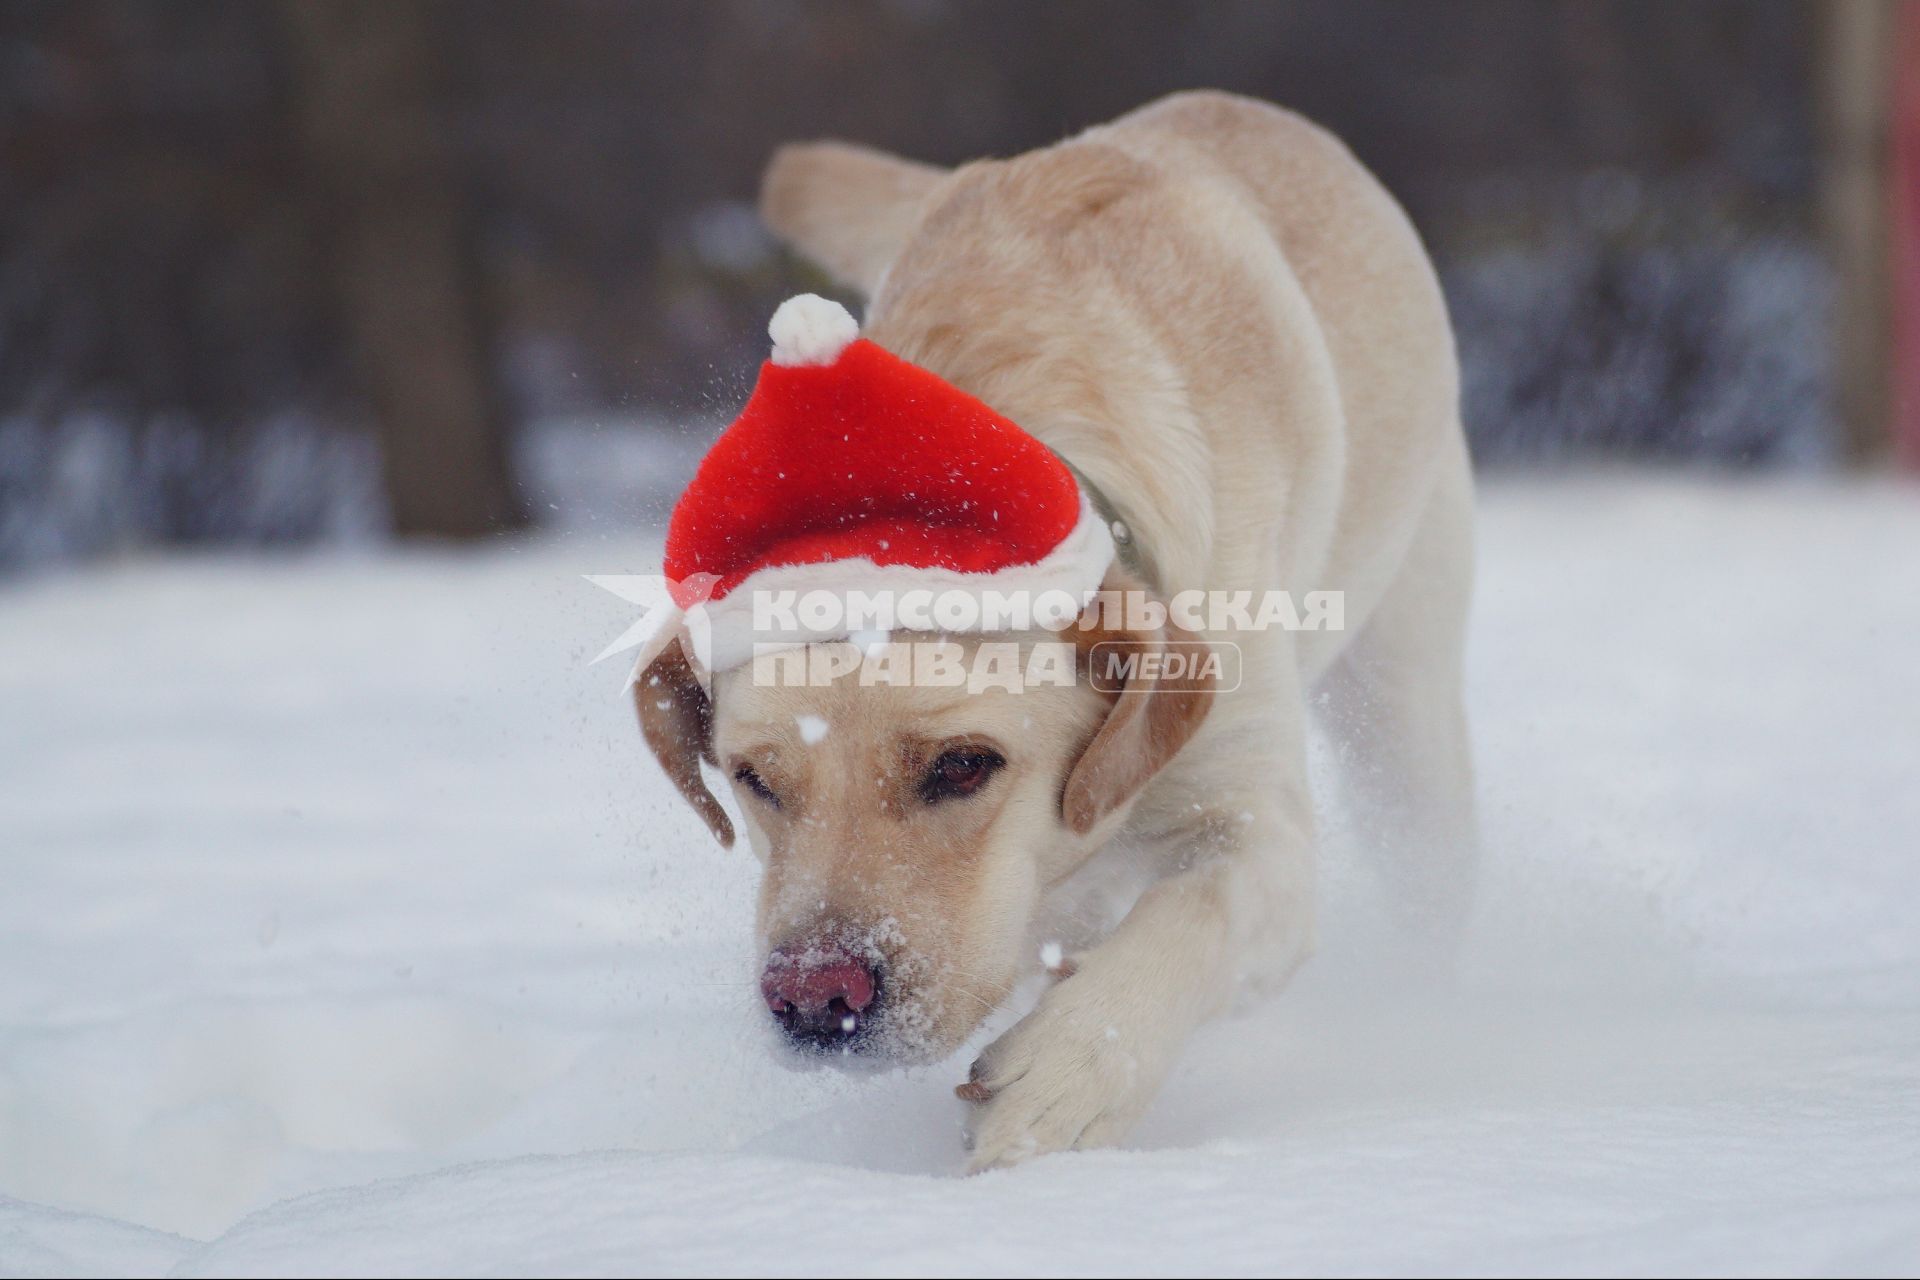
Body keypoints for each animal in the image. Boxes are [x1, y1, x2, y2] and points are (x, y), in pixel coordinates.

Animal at [637, 90, 1474, 1174]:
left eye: (963, 765)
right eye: (754, 779)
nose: (817, 1000)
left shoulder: (1257, 819)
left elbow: (1193, 914)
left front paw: (1064, 1080)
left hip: (1405, 687)